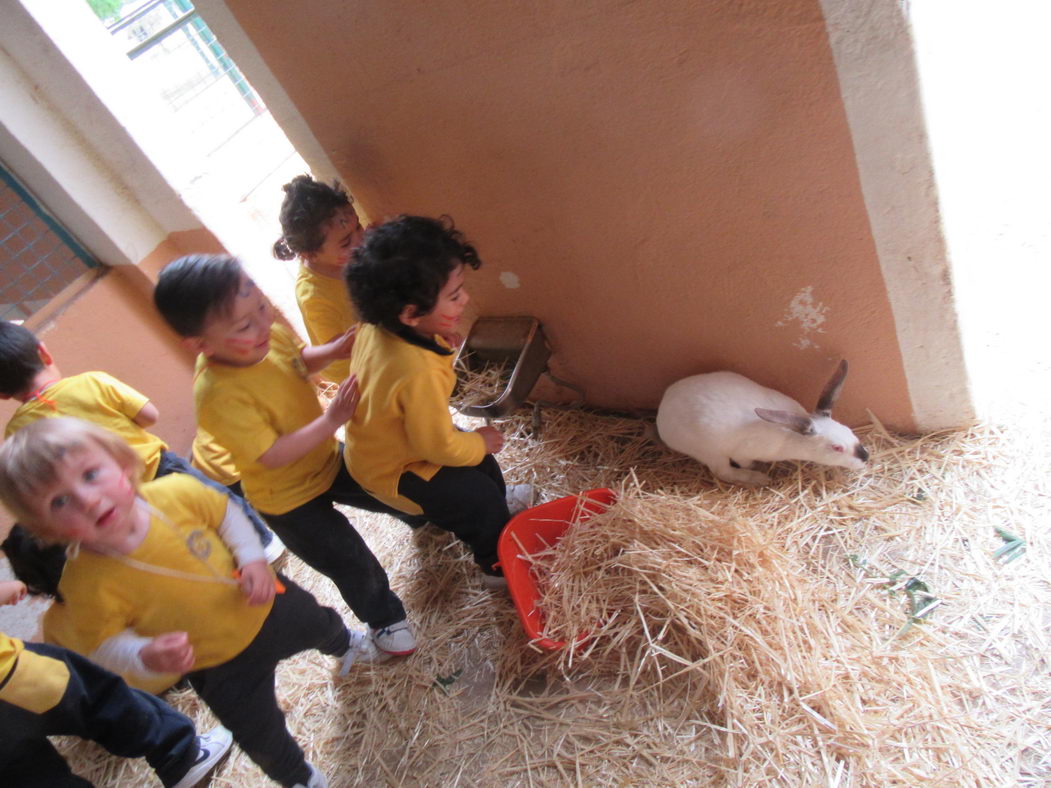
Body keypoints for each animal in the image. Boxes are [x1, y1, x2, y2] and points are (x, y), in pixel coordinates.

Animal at [655, 361, 870, 485]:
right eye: (837, 448)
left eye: (849, 431)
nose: (865, 458)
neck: (791, 438)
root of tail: (662, 409)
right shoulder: (742, 453)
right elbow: (745, 462)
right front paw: (759, 470)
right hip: (711, 453)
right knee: (723, 472)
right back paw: (759, 479)